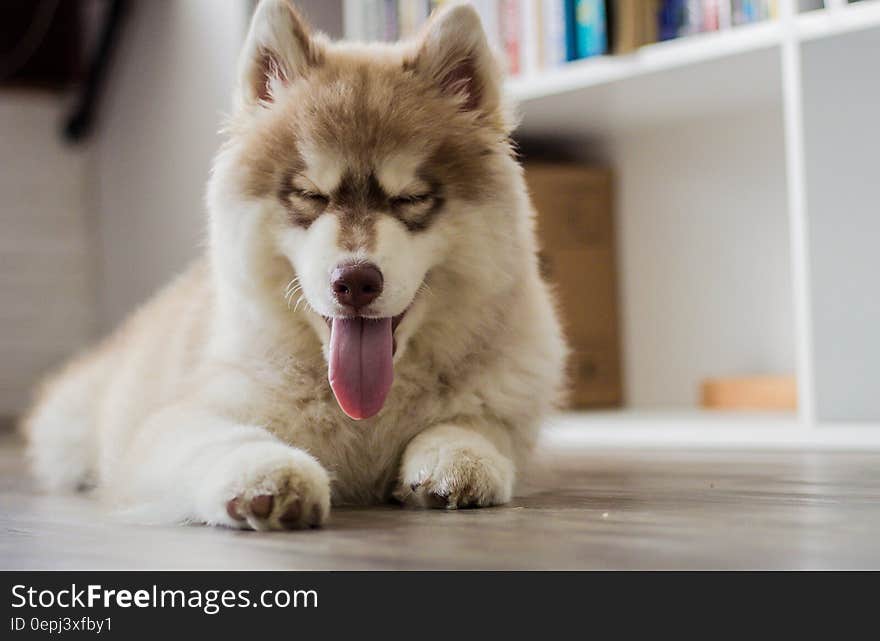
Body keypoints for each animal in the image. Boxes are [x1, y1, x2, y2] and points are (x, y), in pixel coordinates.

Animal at [25, 1, 572, 528]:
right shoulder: (174, 421)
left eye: (410, 198)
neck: (364, 416)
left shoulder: (508, 407)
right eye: (311, 195)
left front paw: (457, 456)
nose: (355, 281)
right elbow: (223, 439)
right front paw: (267, 472)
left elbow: (475, 424)